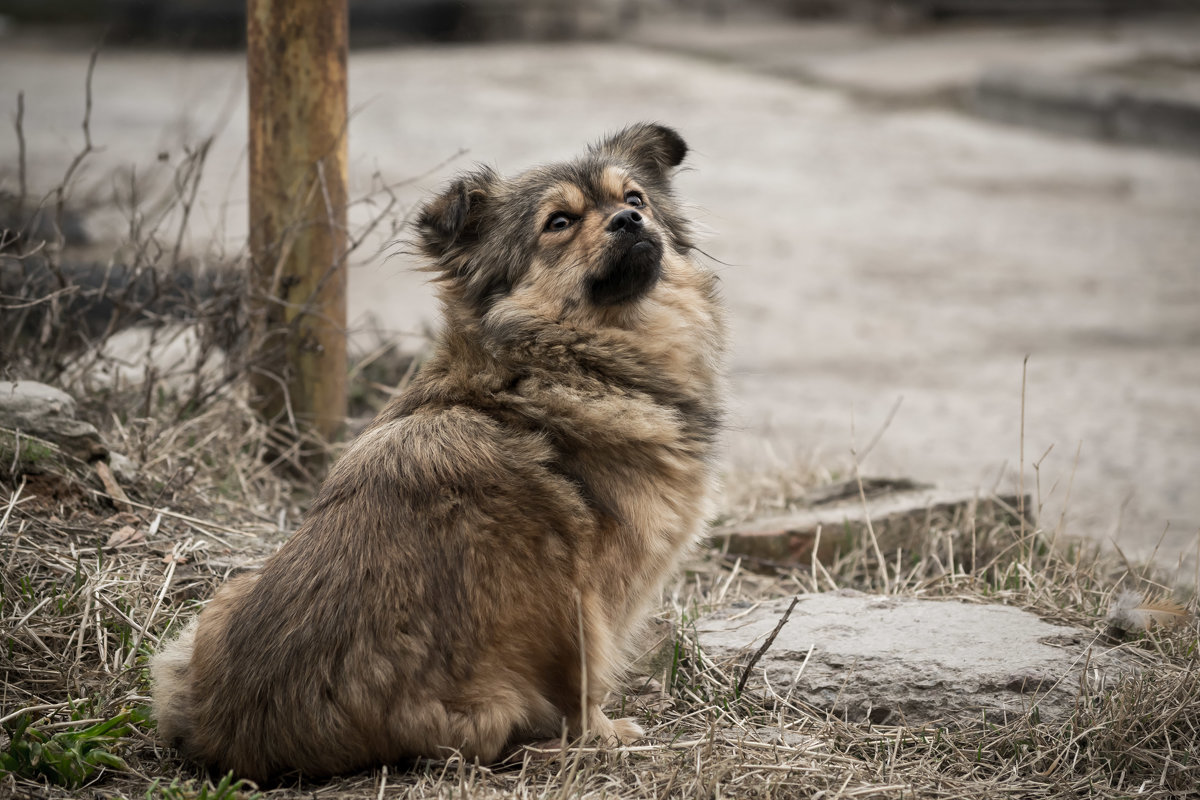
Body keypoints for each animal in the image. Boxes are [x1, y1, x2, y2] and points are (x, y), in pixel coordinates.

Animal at [154, 125, 724, 782]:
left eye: (635, 197)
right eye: (559, 222)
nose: (631, 220)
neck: (556, 357)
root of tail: (244, 737)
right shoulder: (590, 596)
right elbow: (584, 682)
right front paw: (603, 735)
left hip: (211, 613)